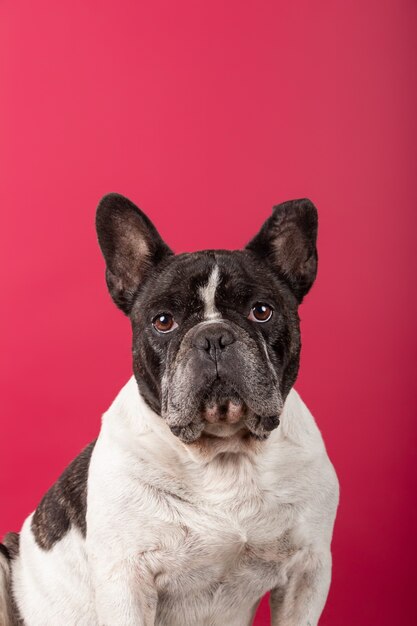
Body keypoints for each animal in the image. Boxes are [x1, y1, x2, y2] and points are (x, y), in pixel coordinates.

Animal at [0, 193, 338, 620]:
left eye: (262, 311)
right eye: (163, 321)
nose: (213, 336)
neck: (225, 456)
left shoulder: (308, 570)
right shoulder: (127, 578)